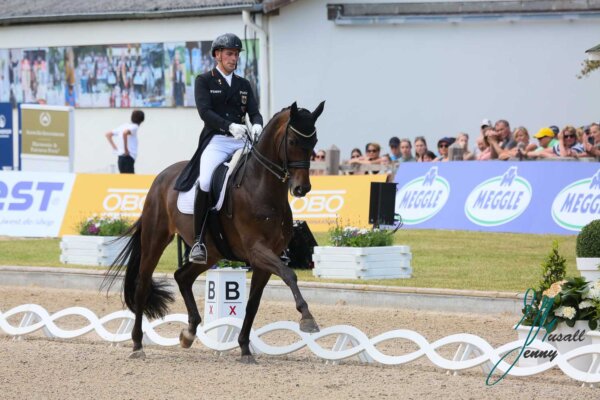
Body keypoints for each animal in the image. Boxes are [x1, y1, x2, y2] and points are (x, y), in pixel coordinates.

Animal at [105, 101, 326, 362]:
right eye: (292, 141)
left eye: (314, 142)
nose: (302, 188)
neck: (262, 187)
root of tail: (161, 177)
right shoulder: (256, 249)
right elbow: (289, 274)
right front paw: (307, 319)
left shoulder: (264, 258)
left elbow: (253, 303)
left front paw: (244, 349)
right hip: (156, 239)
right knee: (142, 285)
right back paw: (138, 345)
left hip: (211, 252)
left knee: (182, 276)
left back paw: (188, 333)